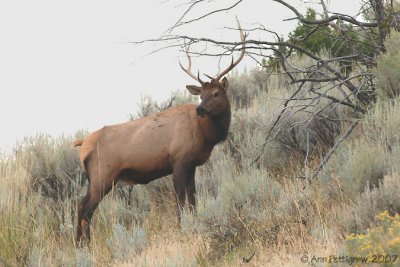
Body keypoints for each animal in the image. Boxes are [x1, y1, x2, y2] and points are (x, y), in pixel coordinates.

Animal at [73, 18, 245, 245]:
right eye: (202, 95)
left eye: (216, 93)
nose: (200, 109)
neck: (206, 135)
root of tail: (83, 144)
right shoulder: (178, 160)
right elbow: (180, 199)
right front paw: (182, 228)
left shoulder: (191, 164)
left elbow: (193, 199)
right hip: (103, 174)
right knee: (85, 209)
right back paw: (85, 244)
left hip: (96, 177)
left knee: (81, 206)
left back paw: (79, 244)